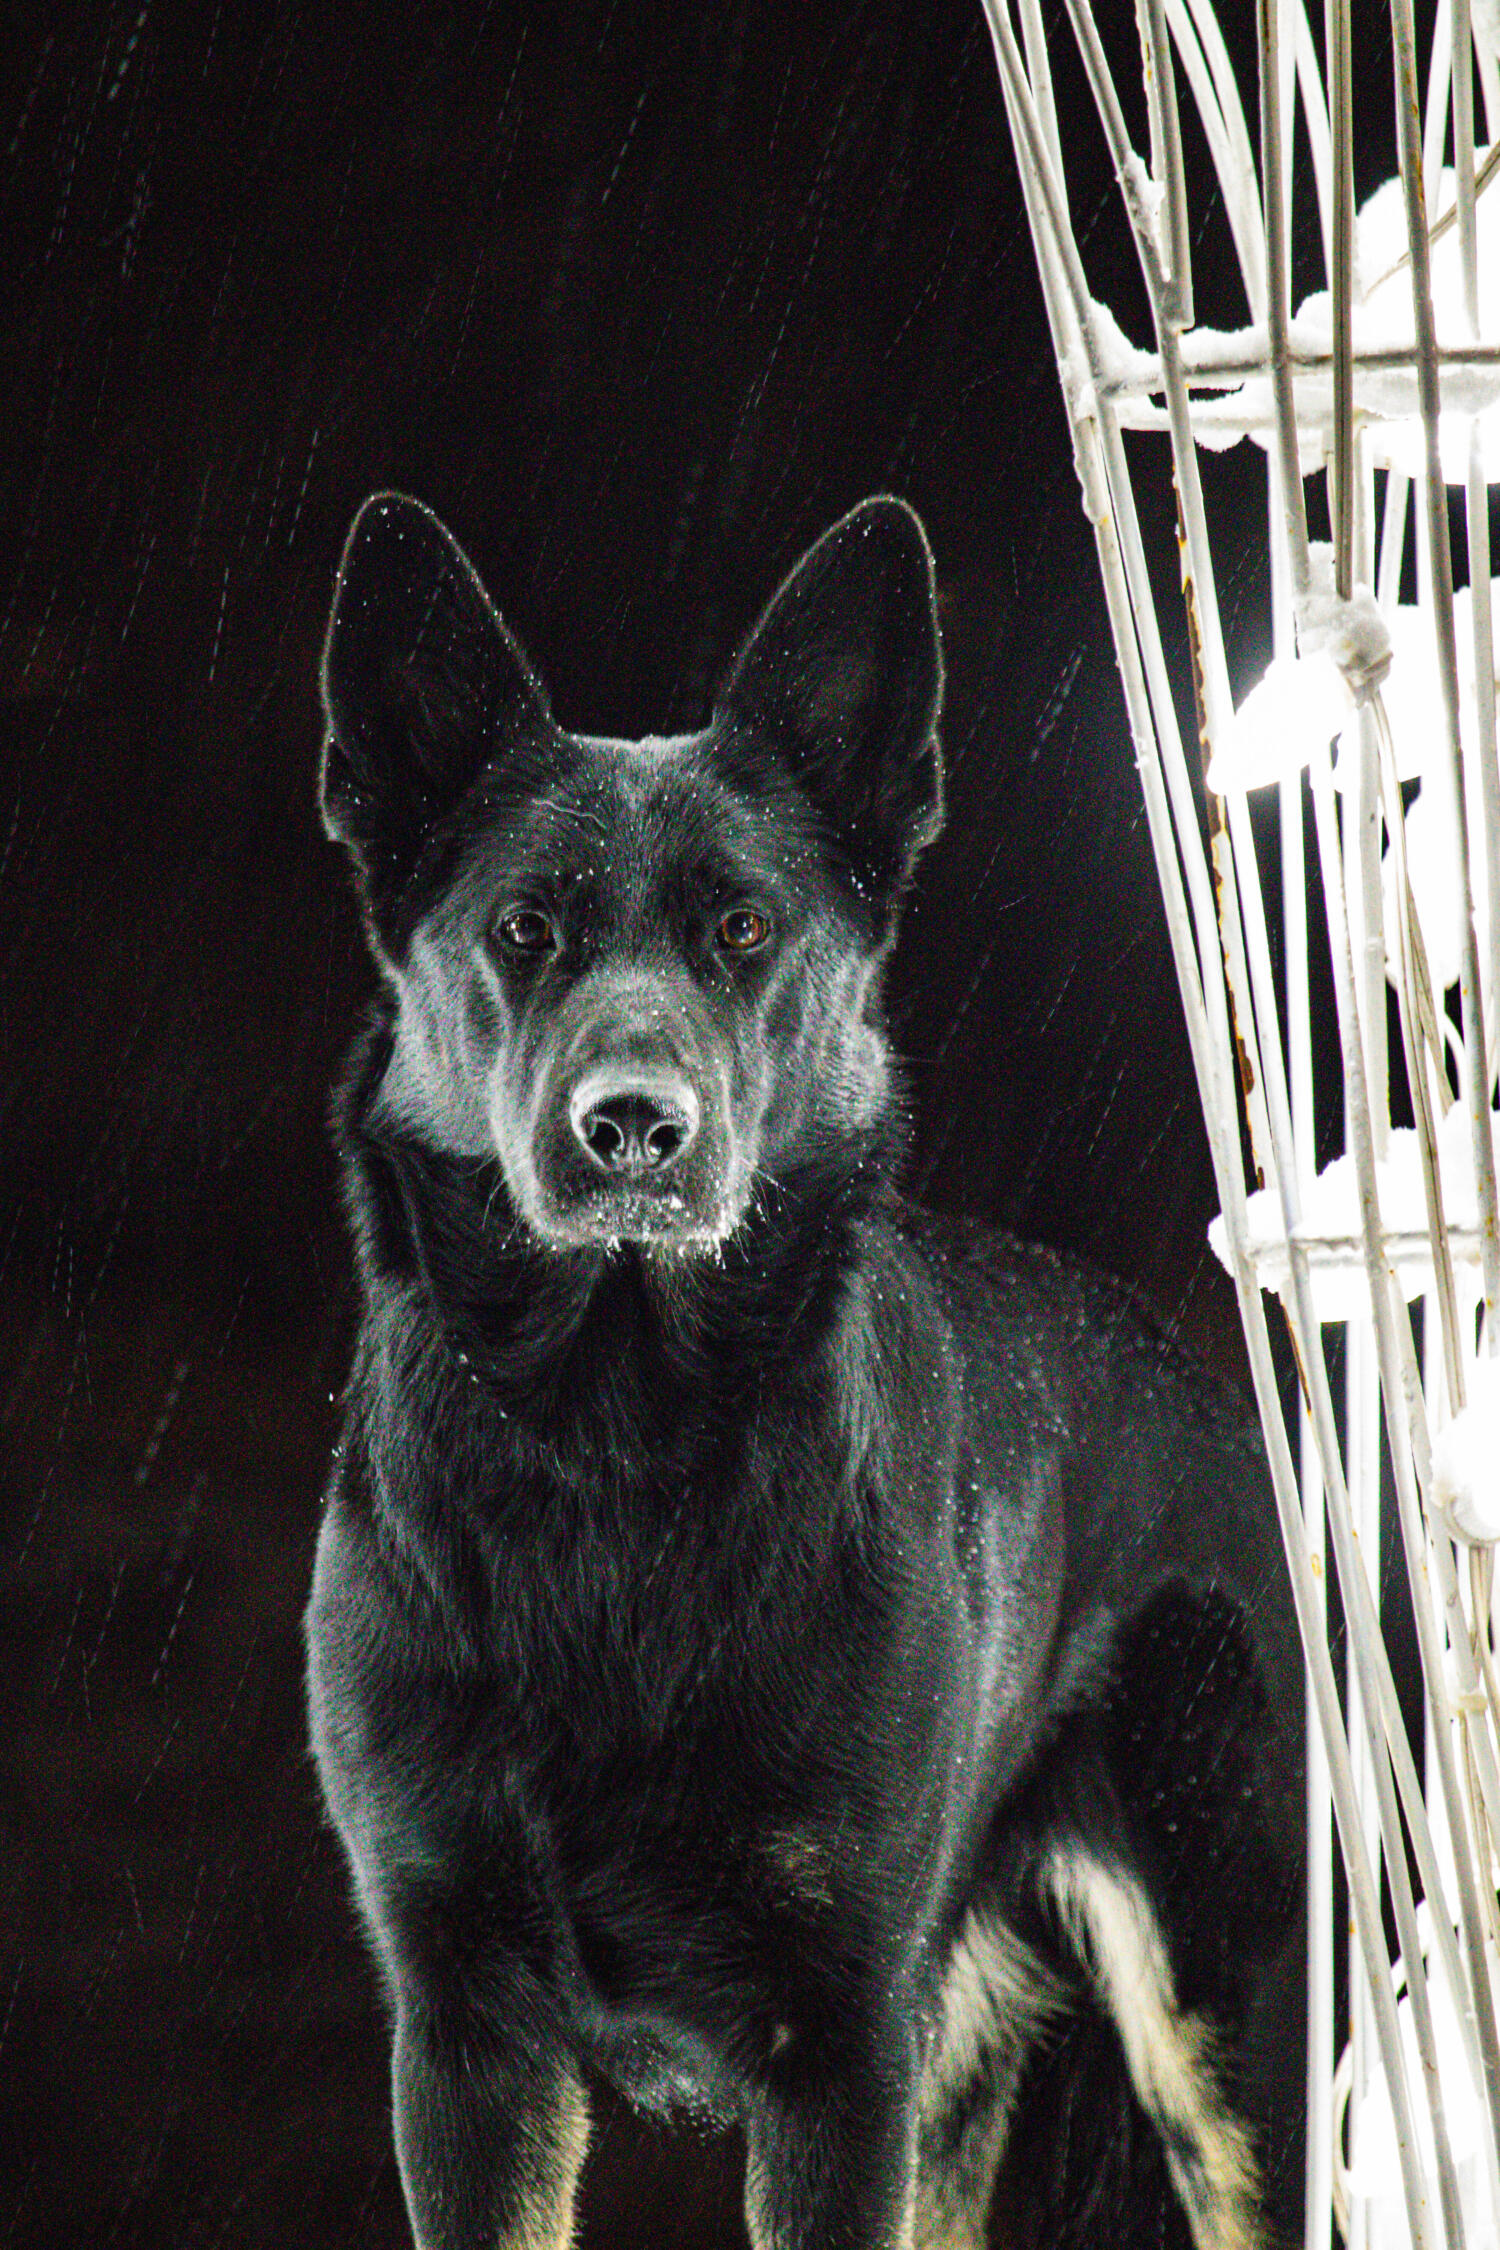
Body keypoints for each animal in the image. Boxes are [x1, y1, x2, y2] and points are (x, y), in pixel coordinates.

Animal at [305, 490, 1305, 2250]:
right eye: (525, 930)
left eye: (744, 929)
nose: (635, 1127)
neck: (614, 1453)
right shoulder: (467, 2029)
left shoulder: (837, 2043)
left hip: (1207, 2004)